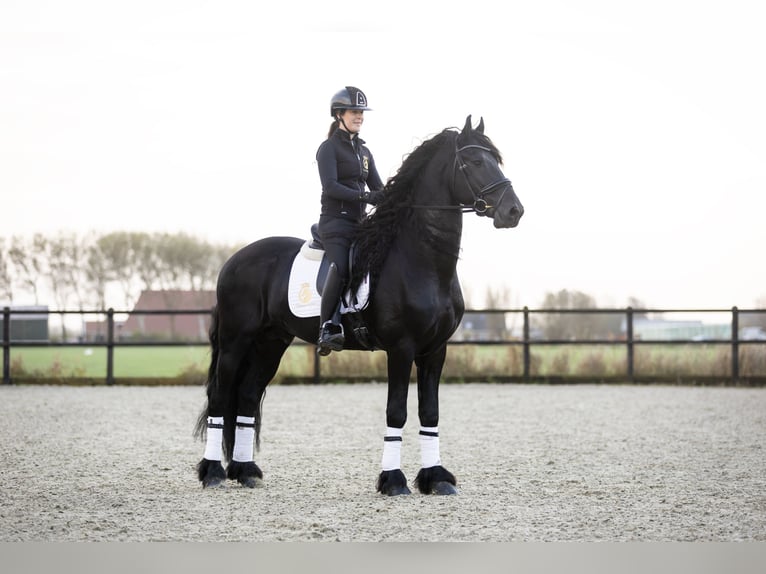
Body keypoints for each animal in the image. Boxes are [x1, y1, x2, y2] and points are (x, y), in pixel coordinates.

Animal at [195, 116, 524, 496]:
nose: (514, 211)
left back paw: (246, 471)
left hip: (270, 343)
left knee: (247, 397)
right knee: (220, 397)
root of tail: (232, 261)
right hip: (236, 342)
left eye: (496, 160)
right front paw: (393, 481)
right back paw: (213, 473)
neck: (421, 260)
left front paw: (437, 478)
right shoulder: (401, 348)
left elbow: (430, 413)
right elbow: (397, 411)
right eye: (473, 162)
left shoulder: (435, 349)